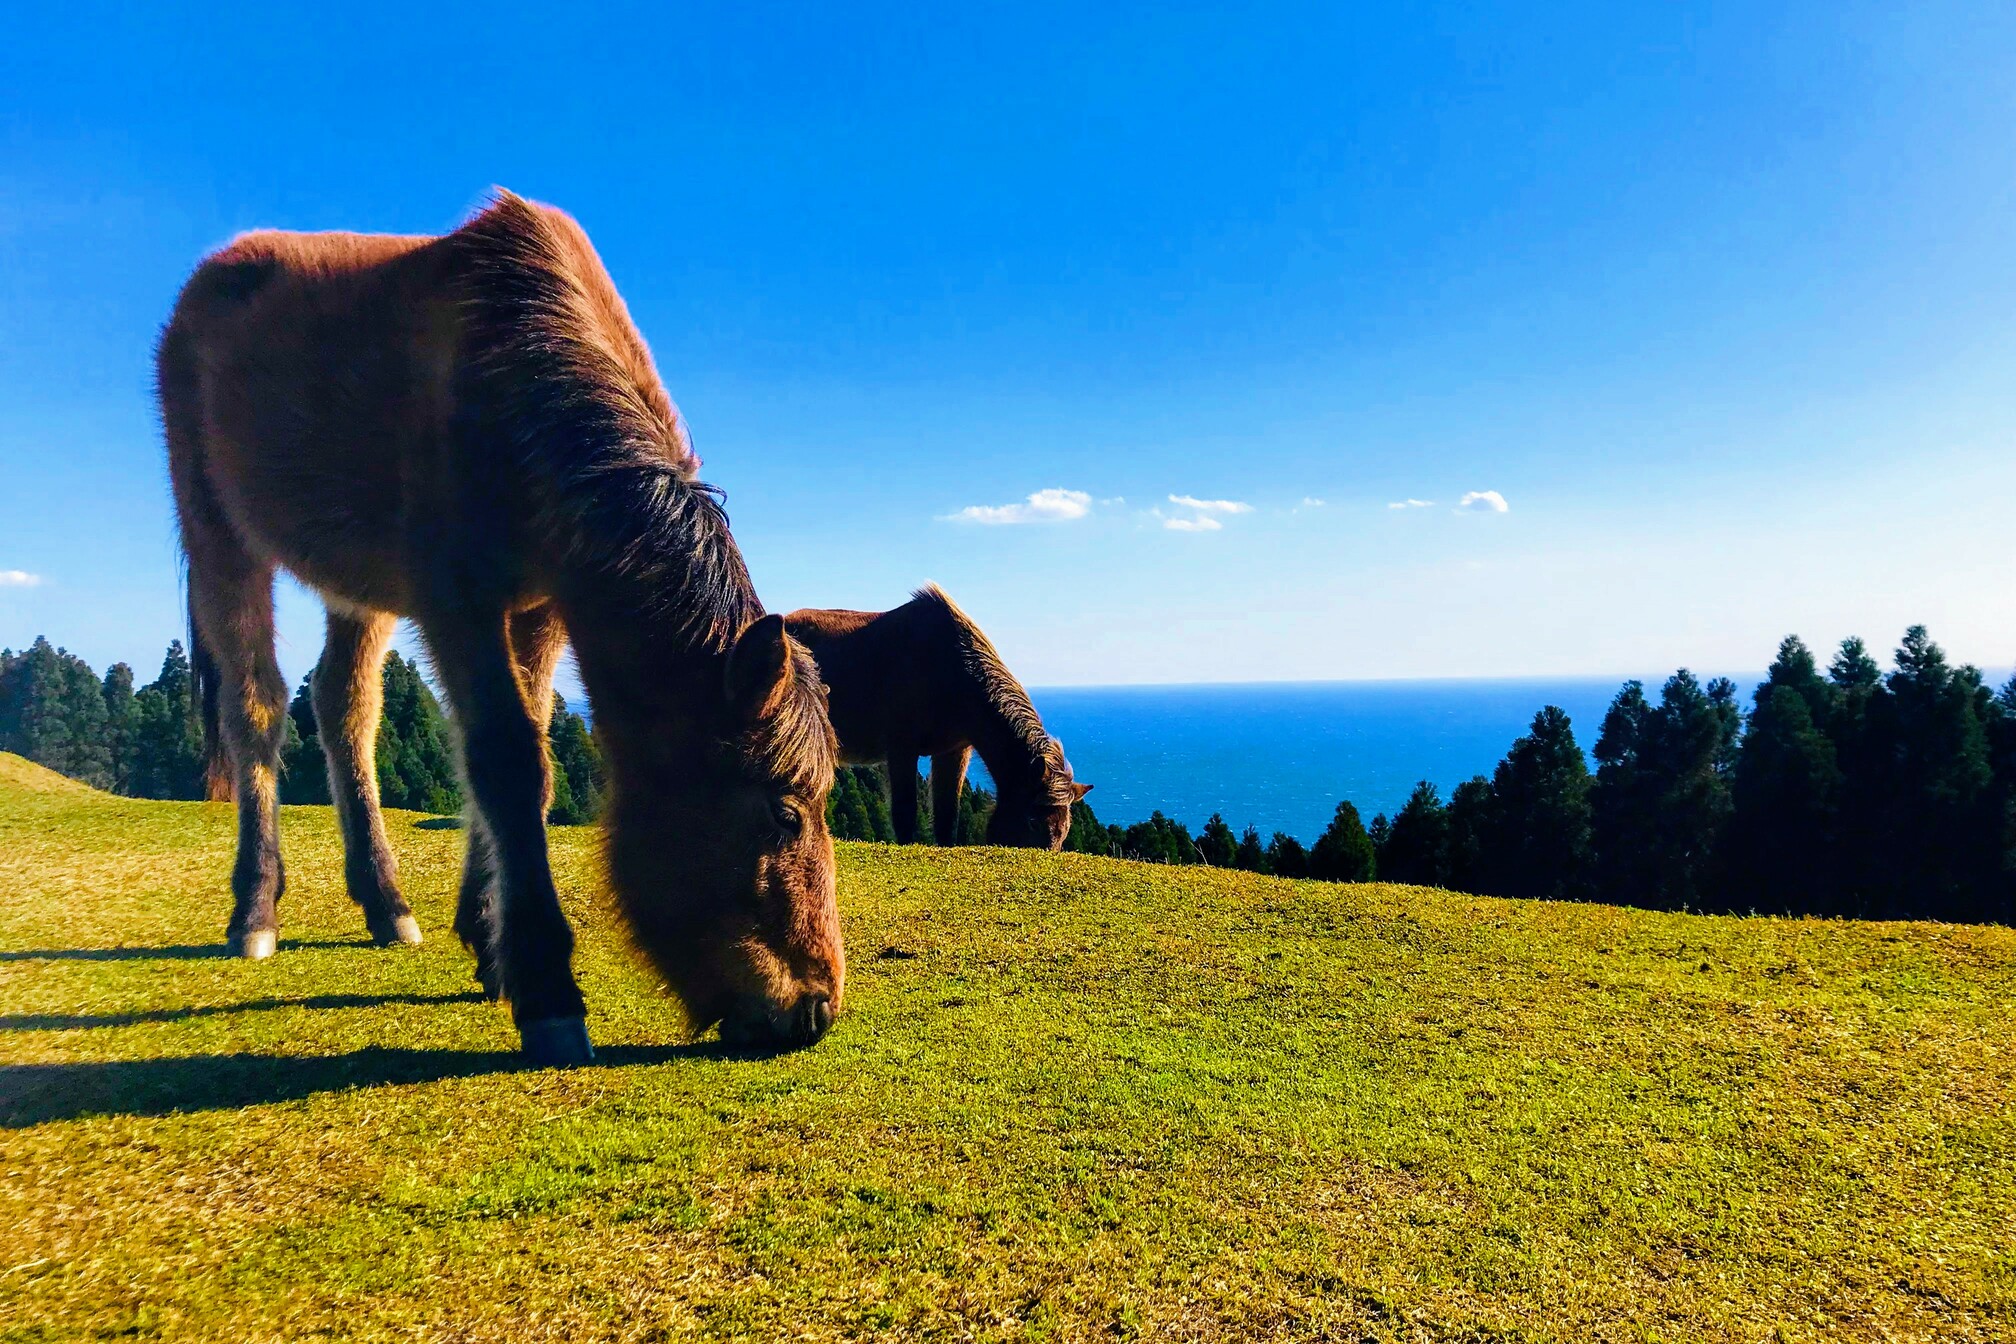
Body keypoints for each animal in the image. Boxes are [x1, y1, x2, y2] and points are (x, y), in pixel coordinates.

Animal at [159, 191, 842, 1071]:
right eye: (783, 815)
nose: (816, 1010)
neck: (519, 368)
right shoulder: (459, 602)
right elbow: (506, 762)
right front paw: (546, 985)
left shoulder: (541, 607)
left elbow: (534, 756)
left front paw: (489, 942)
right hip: (219, 532)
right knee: (256, 710)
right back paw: (255, 909)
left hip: (359, 584)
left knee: (344, 708)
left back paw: (385, 902)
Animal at [786, 588, 1096, 850]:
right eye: (1032, 821)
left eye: (1064, 831)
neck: (951, 670)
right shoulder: (901, 749)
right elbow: (906, 810)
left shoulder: (954, 751)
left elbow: (948, 813)